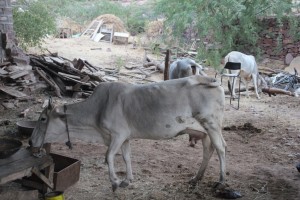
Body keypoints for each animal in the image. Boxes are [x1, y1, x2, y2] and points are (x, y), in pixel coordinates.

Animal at [31, 76, 227, 191]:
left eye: (43, 119)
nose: (31, 141)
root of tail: (210, 79)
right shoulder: (125, 138)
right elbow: (126, 157)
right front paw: (127, 180)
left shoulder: (117, 135)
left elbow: (109, 156)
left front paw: (115, 181)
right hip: (204, 132)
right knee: (208, 151)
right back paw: (196, 178)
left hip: (212, 124)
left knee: (221, 148)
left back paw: (221, 181)